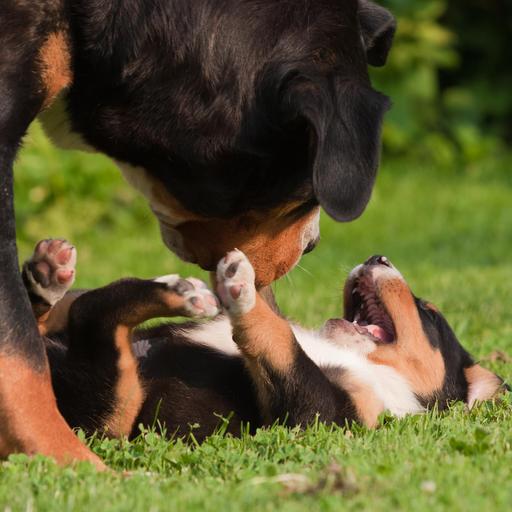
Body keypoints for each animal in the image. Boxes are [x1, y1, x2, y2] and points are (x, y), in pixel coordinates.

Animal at [23, 240, 504, 440]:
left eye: (430, 313)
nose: (377, 257)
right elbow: (285, 328)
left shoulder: (317, 417)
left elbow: (284, 342)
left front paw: (244, 292)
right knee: (70, 314)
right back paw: (48, 276)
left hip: (113, 410)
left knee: (95, 320)